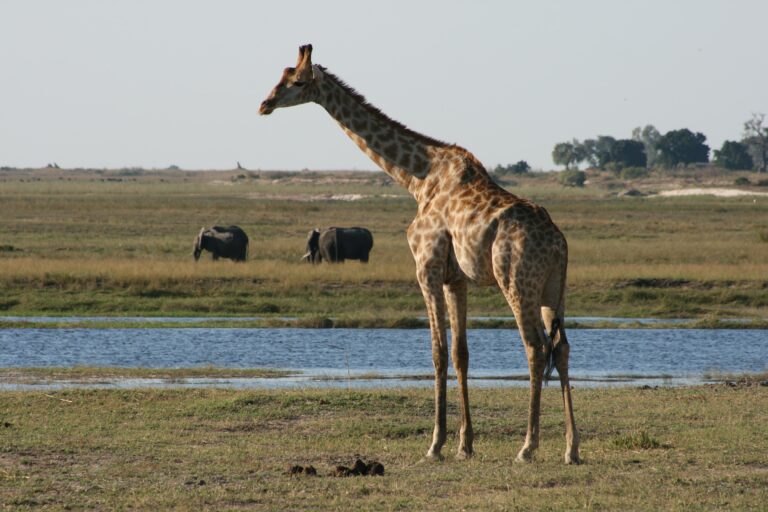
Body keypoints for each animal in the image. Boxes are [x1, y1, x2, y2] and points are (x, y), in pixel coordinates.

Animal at [260, 46, 580, 466]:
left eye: (296, 81)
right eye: (280, 76)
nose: (264, 104)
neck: (416, 178)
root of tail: (559, 243)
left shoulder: (426, 268)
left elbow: (437, 352)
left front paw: (436, 444)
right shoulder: (456, 278)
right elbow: (460, 353)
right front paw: (465, 444)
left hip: (517, 283)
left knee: (536, 349)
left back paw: (527, 447)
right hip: (553, 290)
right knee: (562, 348)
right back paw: (572, 448)